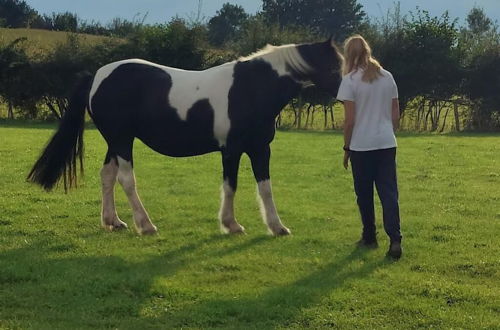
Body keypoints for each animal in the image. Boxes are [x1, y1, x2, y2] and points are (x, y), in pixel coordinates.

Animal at [28, 38, 344, 235]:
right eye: (334, 66)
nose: (345, 94)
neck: (252, 88)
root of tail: (96, 77)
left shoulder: (259, 149)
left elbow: (264, 187)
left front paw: (277, 227)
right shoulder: (232, 150)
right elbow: (231, 186)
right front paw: (231, 224)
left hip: (116, 142)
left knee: (107, 176)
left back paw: (113, 222)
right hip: (122, 141)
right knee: (126, 179)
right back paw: (146, 225)